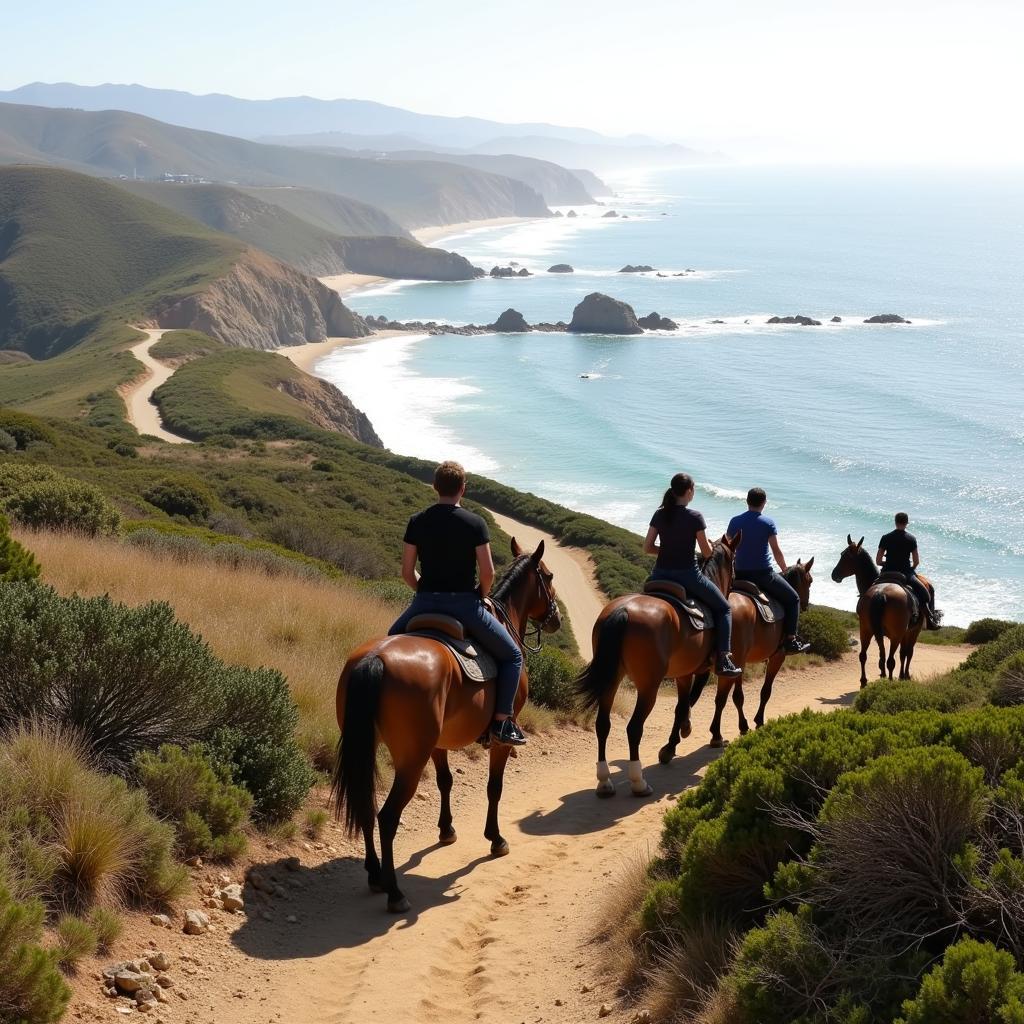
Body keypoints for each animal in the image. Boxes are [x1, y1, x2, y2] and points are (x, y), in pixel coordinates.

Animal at [331, 540, 561, 917]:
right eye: (549, 576)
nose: (556, 619)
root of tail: (373, 659)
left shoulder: (438, 743)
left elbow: (445, 781)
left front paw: (446, 829)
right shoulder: (501, 742)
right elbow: (494, 788)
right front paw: (495, 839)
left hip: (368, 747)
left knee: (365, 804)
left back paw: (376, 875)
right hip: (411, 760)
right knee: (387, 816)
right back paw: (395, 892)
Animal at [577, 536, 737, 798]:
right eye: (733, 563)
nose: (734, 583)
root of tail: (623, 610)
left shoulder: (683, 674)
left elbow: (683, 705)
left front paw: (676, 738)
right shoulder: (699, 671)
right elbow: (686, 704)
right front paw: (678, 737)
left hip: (612, 680)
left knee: (602, 725)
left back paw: (604, 781)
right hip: (648, 687)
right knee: (634, 728)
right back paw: (638, 782)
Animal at [663, 557, 815, 757]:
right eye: (810, 581)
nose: (805, 605)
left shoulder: (740, 664)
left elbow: (738, 697)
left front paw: (744, 726)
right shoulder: (777, 657)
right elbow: (765, 691)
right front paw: (758, 721)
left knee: (686, 703)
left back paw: (673, 742)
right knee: (716, 700)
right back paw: (713, 735)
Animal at [827, 536, 933, 688]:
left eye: (846, 556)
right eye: (842, 555)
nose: (834, 575)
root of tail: (880, 593)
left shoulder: (881, 633)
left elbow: (883, 654)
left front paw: (885, 674)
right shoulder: (911, 631)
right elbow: (906, 653)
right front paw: (903, 676)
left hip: (865, 630)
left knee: (864, 656)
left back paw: (864, 682)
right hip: (897, 635)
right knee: (893, 659)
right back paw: (891, 681)